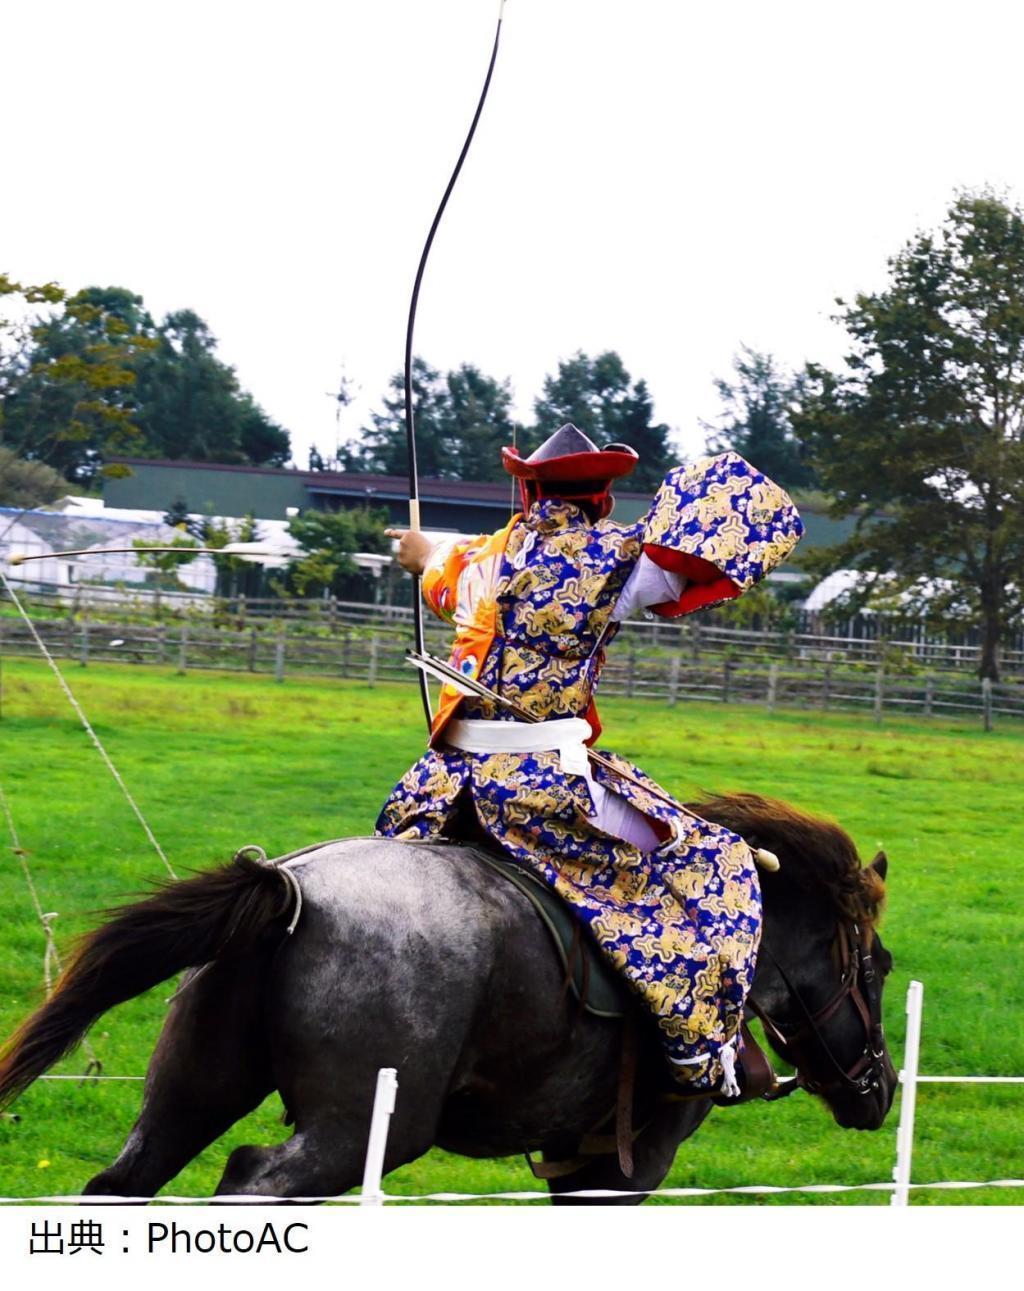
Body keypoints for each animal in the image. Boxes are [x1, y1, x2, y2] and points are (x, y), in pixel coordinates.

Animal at [0, 790, 893, 1203]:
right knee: (250, 1180)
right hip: (353, 1134)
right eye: (879, 966)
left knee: (125, 1181)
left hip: (189, 1095)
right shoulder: (627, 1166)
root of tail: (289, 888)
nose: (881, 1089)